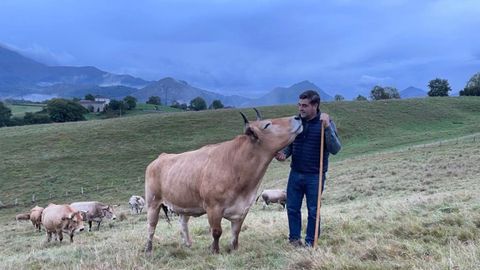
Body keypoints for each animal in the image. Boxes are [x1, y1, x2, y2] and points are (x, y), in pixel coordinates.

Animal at [144, 107, 302, 253]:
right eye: (267, 125)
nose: (298, 117)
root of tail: (161, 157)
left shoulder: (243, 208)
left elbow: (236, 232)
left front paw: (234, 248)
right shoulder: (213, 207)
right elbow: (216, 232)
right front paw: (215, 250)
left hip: (183, 203)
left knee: (183, 222)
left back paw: (188, 244)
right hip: (153, 202)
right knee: (151, 227)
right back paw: (148, 249)